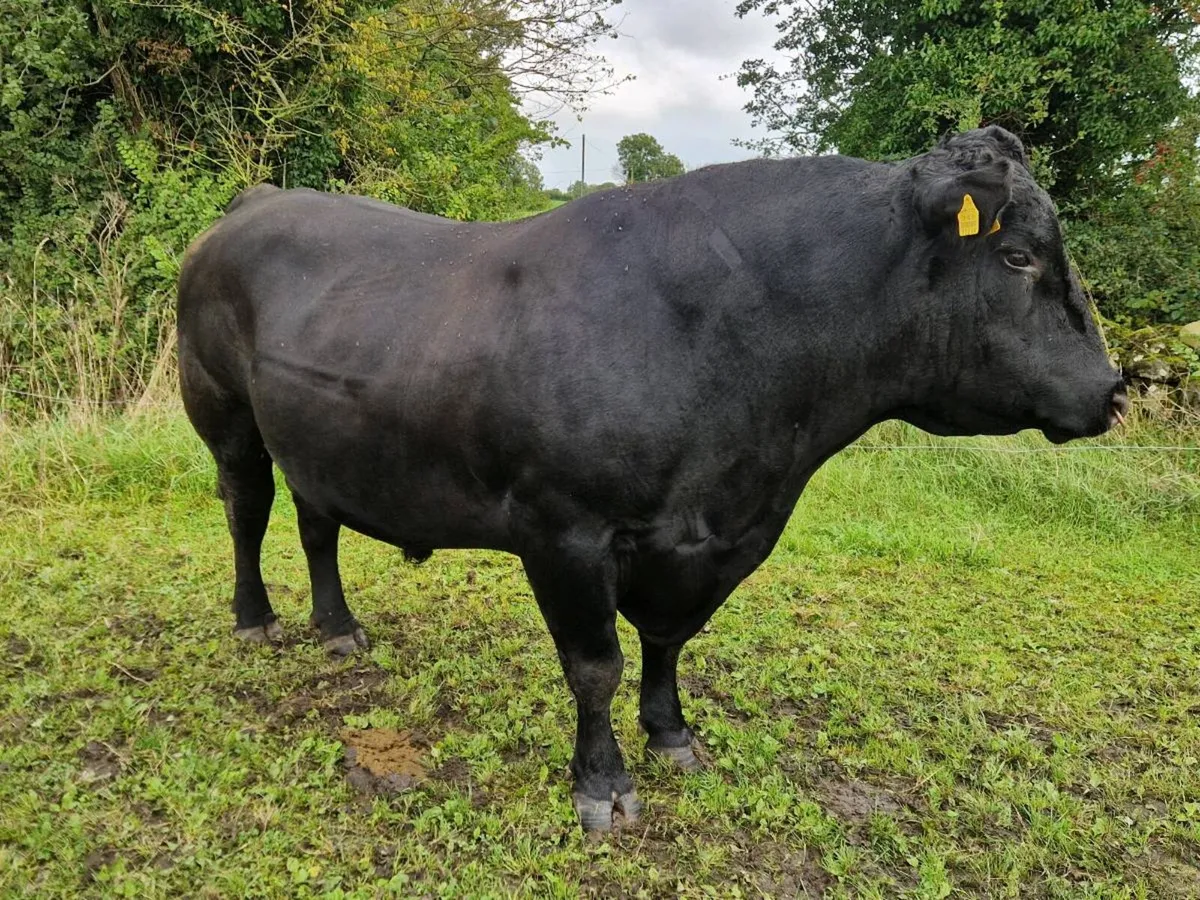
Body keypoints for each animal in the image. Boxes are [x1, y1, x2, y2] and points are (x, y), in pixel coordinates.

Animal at [177, 127, 1127, 832]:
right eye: (1017, 258)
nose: (1112, 390)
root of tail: (258, 200)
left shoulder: (710, 537)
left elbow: (670, 641)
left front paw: (672, 736)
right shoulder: (562, 530)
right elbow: (593, 664)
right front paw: (602, 785)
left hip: (319, 437)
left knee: (316, 523)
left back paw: (338, 626)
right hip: (224, 413)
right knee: (247, 510)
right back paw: (255, 617)